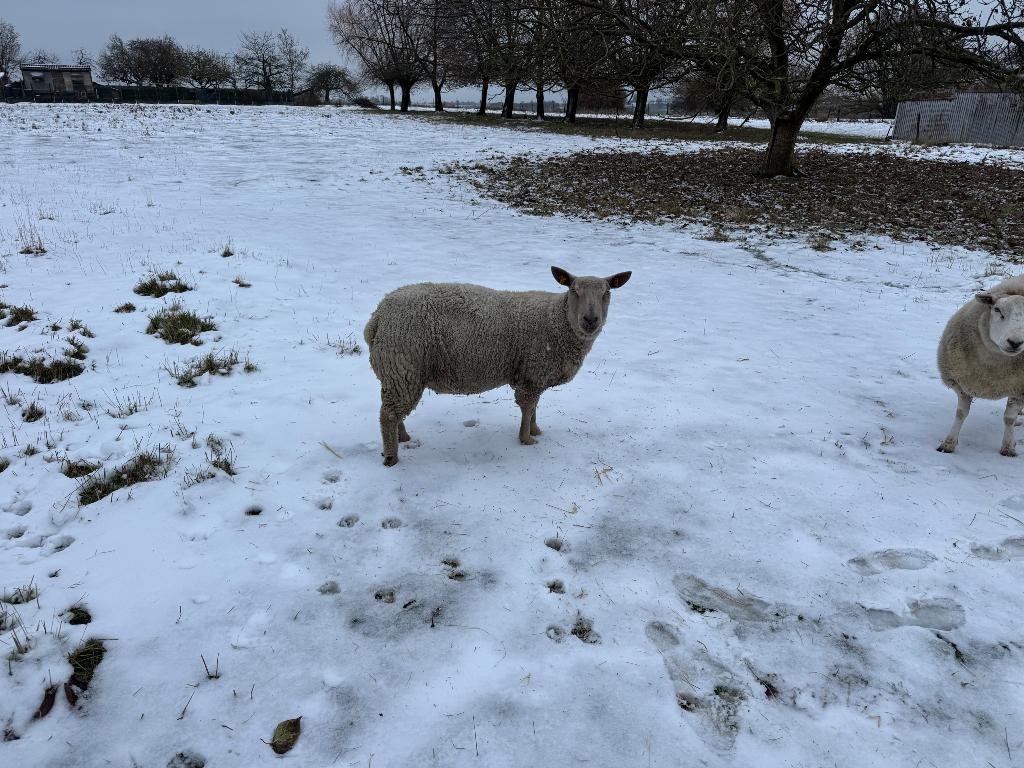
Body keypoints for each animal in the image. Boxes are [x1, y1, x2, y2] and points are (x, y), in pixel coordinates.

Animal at [363, 266, 632, 466]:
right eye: (574, 290)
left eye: (607, 292)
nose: (590, 320)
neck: (558, 320)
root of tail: (377, 317)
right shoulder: (533, 373)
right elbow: (528, 408)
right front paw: (527, 439)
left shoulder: (533, 375)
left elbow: (534, 408)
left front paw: (536, 430)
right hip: (403, 367)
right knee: (387, 416)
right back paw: (392, 456)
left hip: (398, 374)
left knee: (392, 410)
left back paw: (403, 437)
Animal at [937, 276, 1024, 456]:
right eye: (997, 310)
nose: (1015, 343)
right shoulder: (962, 384)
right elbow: (961, 414)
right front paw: (948, 443)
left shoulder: (1020, 389)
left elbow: (1009, 419)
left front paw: (1007, 447)